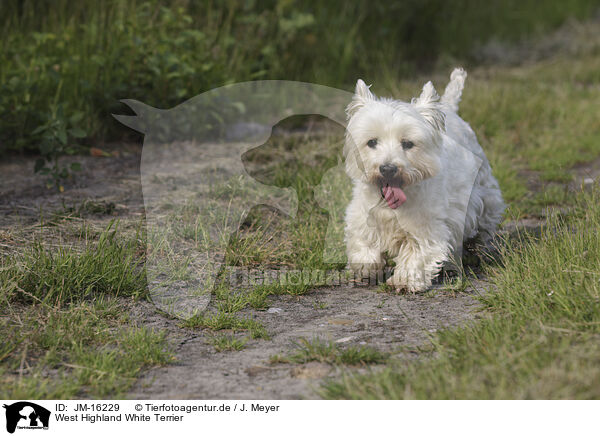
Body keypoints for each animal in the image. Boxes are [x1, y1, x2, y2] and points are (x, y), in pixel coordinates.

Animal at [344, 68, 504, 292]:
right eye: (372, 142)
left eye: (408, 143)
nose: (387, 168)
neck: (390, 204)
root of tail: (449, 108)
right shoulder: (361, 215)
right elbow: (363, 244)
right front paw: (366, 269)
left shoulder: (427, 225)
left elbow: (417, 253)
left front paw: (404, 281)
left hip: (484, 194)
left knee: (484, 223)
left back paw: (476, 248)